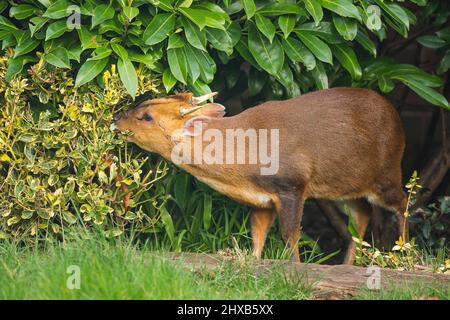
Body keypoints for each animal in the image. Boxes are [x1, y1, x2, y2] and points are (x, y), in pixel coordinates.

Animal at [115, 86, 408, 264]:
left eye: (147, 116)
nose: (116, 118)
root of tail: (397, 117)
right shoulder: (261, 200)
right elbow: (257, 236)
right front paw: (253, 261)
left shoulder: (292, 185)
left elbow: (290, 235)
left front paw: (296, 268)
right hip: (345, 186)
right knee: (363, 213)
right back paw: (347, 265)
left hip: (387, 172)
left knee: (403, 201)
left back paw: (404, 253)